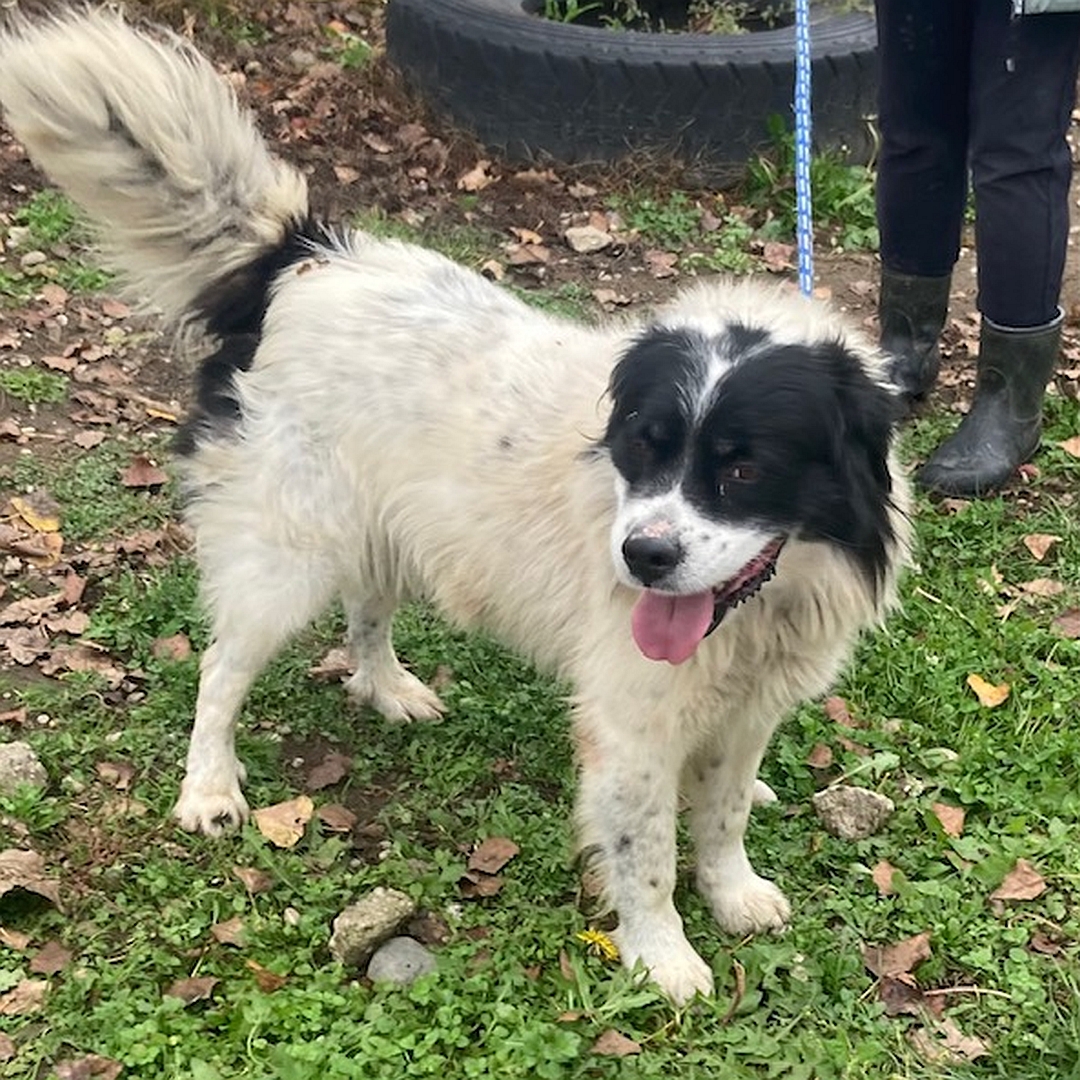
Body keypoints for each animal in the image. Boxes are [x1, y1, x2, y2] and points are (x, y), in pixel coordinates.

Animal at [0, 8, 907, 1002]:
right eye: (643, 445)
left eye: (746, 471)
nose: (642, 559)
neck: (758, 611)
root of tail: (298, 258)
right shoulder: (631, 723)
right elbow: (647, 854)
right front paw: (662, 958)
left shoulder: (750, 709)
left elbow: (726, 812)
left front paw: (735, 893)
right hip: (288, 554)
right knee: (220, 669)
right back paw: (209, 789)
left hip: (390, 525)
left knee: (365, 614)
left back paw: (387, 688)